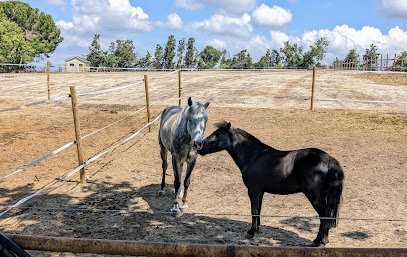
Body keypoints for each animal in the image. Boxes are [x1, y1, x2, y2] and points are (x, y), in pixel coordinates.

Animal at [198, 120, 344, 246]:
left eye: (218, 134)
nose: (199, 146)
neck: (254, 156)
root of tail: (328, 159)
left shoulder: (253, 190)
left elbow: (254, 210)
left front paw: (251, 232)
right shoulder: (260, 191)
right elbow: (258, 210)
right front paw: (256, 229)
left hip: (314, 196)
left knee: (324, 216)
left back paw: (319, 241)